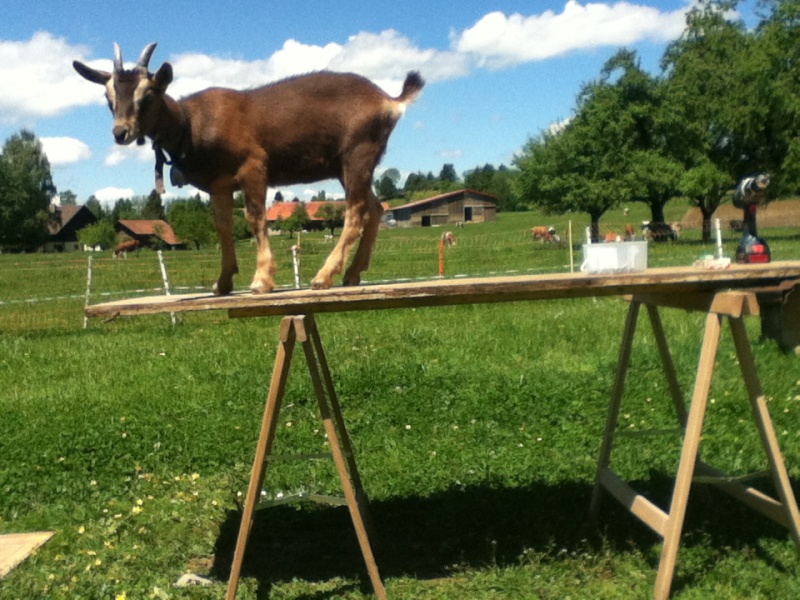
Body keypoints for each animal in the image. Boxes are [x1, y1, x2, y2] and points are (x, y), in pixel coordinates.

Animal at [74, 42, 424, 296]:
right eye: (108, 97)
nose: (121, 133)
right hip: (347, 164)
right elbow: (223, 227)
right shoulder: (219, 184)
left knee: (356, 210)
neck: (192, 125)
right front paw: (222, 282)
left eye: (148, 95)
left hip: (357, 153)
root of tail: (389, 100)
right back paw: (352, 274)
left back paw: (324, 276)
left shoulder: (254, 167)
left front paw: (261, 280)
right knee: (376, 207)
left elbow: (255, 219)